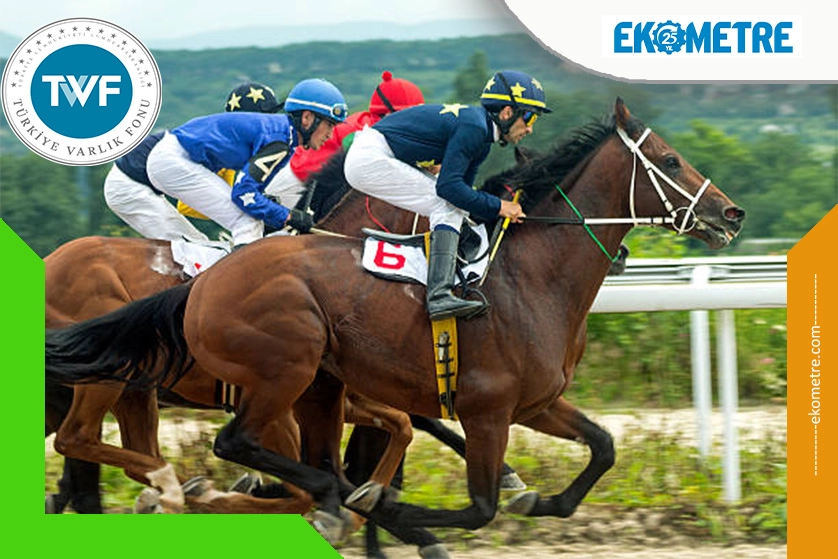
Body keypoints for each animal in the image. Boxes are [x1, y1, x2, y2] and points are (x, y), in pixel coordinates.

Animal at [46, 99, 741, 556]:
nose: (730, 214)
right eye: (671, 159)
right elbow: (476, 504)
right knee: (204, 444)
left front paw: (531, 497)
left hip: (241, 388)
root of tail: (202, 285)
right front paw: (398, 511)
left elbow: (601, 449)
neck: (531, 278)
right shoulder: (486, 409)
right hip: (272, 371)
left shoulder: (534, 403)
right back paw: (213, 490)